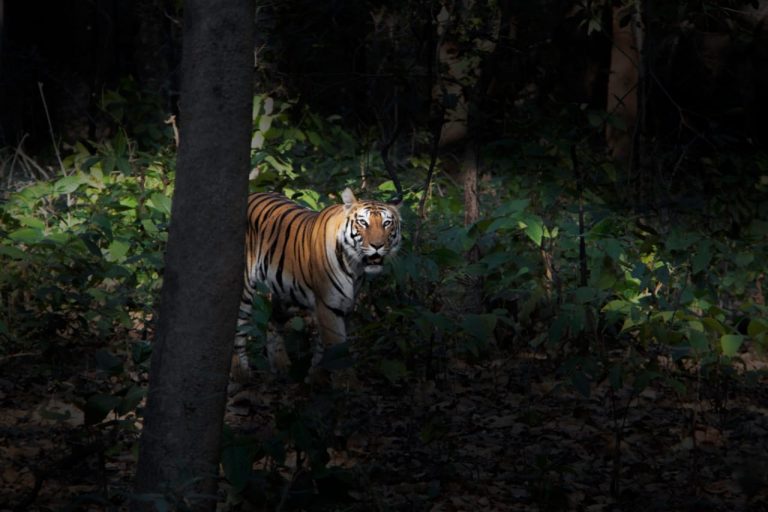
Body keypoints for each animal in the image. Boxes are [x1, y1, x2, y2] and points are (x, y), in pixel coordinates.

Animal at [232, 188, 402, 381]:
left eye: (387, 223)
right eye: (363, 223)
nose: (377, 246)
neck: (355, 266)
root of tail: (252, 195)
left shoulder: (345, 306)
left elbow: (323, 345)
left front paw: (316, 377)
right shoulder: (330, 305)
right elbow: (338, 349)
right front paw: (347, 383)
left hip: (285, 295)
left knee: (272, 322)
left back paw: (281, 365)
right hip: (245, 289)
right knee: (238, 329)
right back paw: (240, 373)